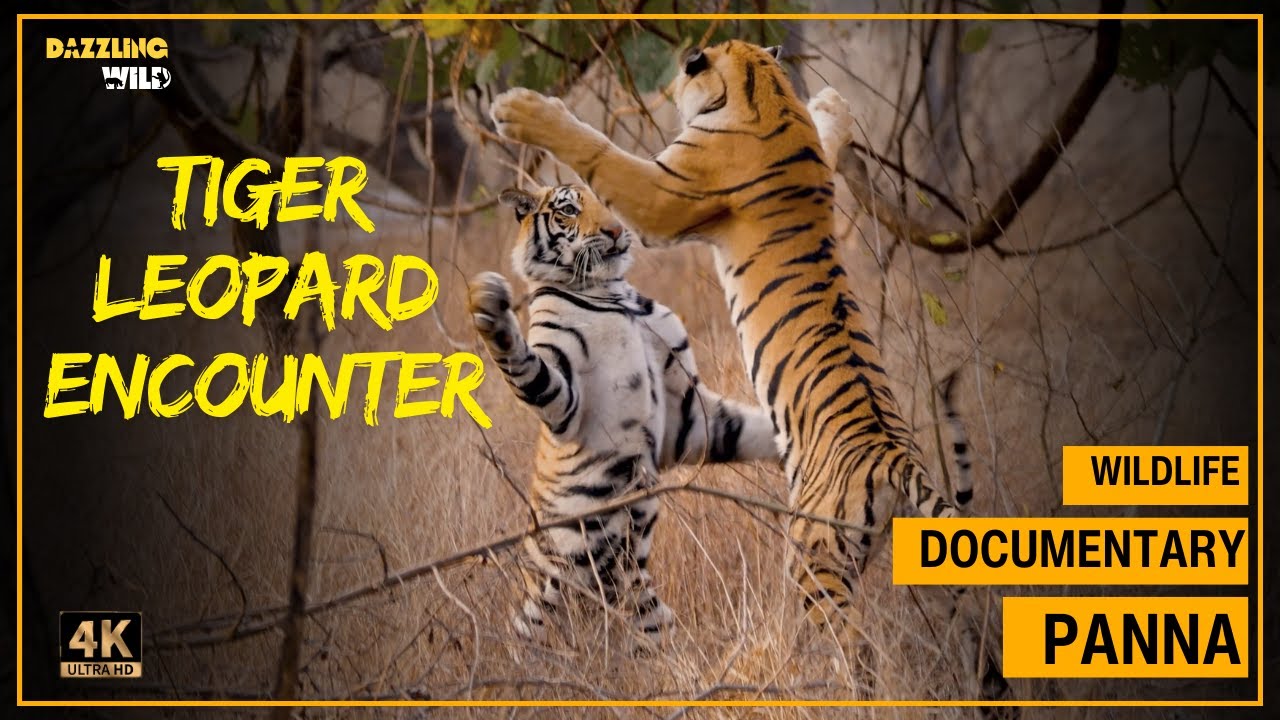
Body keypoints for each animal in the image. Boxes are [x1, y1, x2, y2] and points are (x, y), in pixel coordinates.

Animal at [467, 182, 780, 645]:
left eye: (605, 202)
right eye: (569, 210)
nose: (615, 230)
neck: (612, 292)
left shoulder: (686, 415)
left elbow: (750, 427)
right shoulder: (566, 400)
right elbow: (526, 365)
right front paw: (488, 303)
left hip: (650, 615)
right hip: (537, 611)